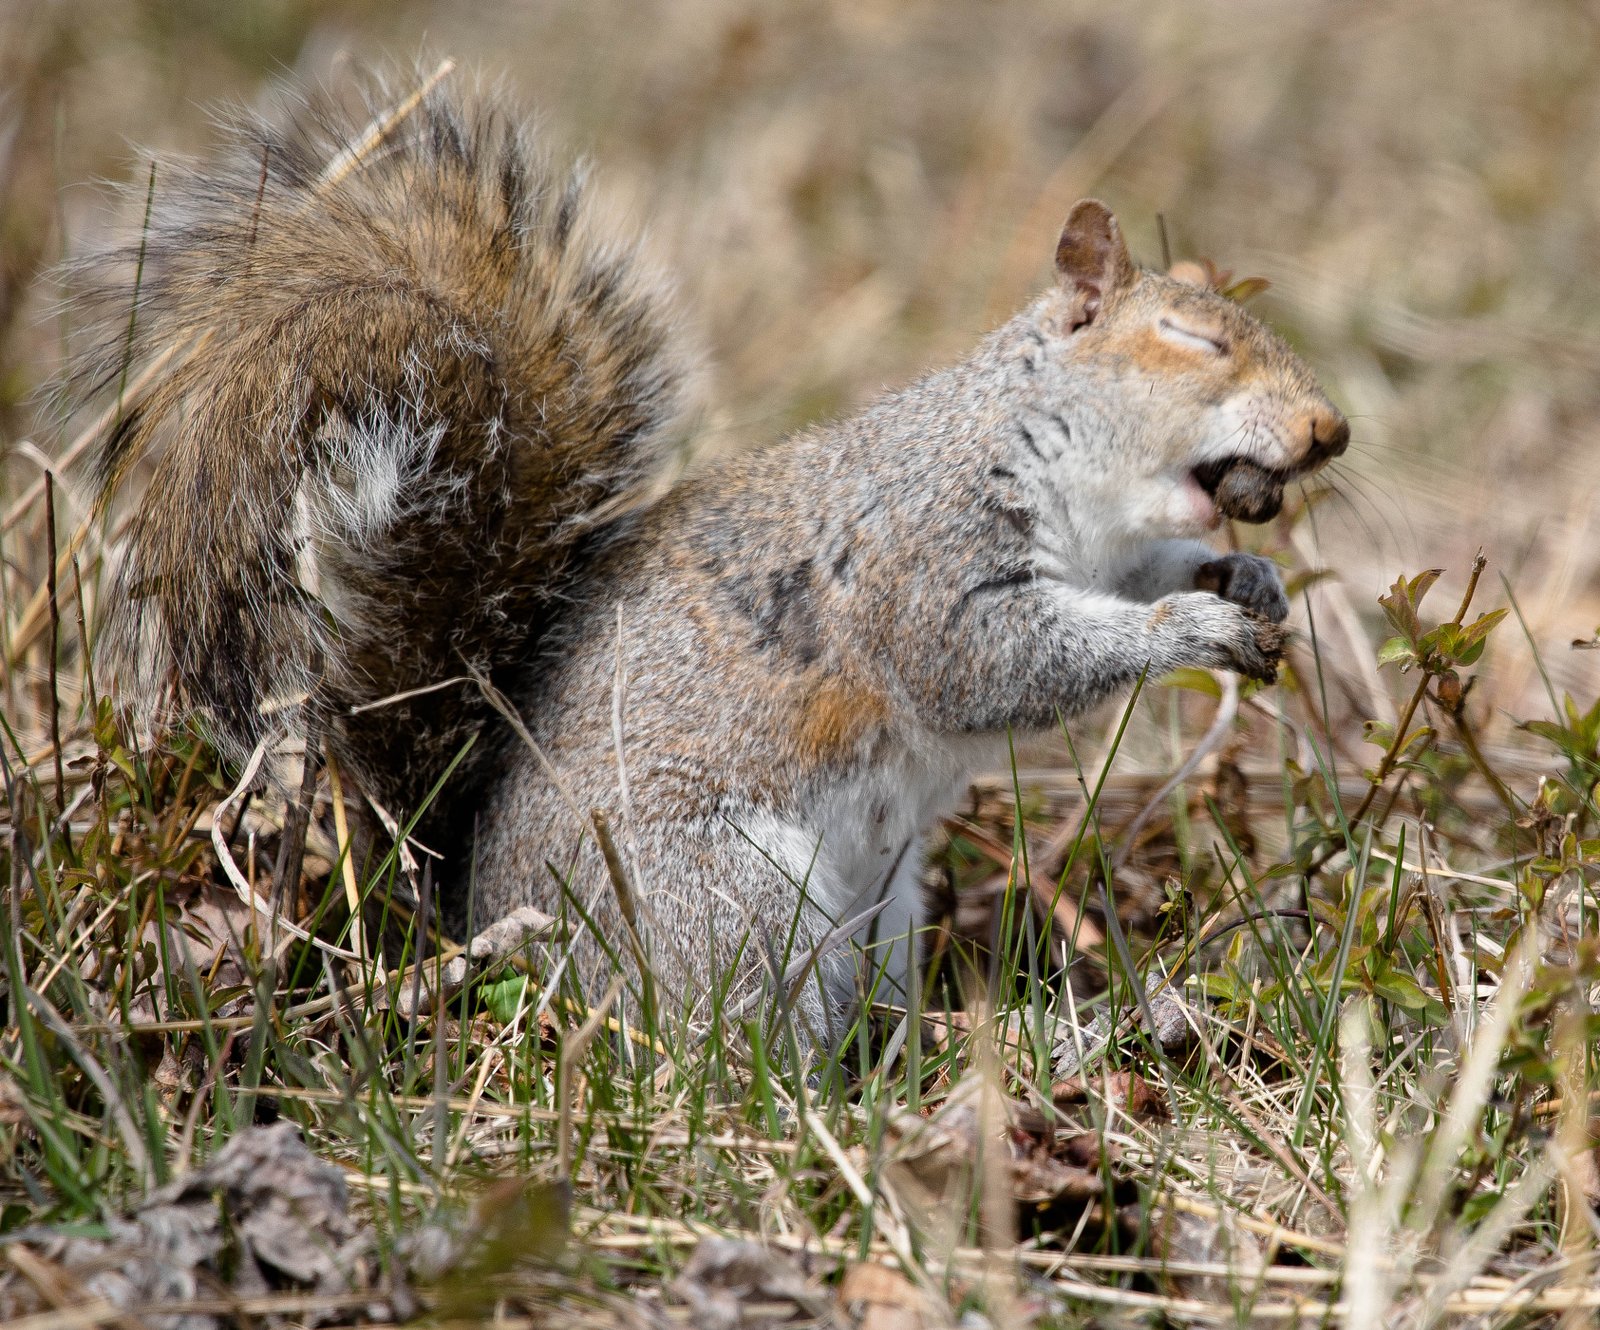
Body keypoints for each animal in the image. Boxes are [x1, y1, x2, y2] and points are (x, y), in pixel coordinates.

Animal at [69, 68, 1348, 1048]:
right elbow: (989, 667)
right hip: (730, 902)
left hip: (881, 907)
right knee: (743, 1048)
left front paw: (1236, 579)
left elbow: (1135, 574)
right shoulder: (924, 553)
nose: (1329, 429)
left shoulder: (1099, 547)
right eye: (1190, 338)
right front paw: (1191, 629)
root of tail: (473, 920)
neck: (1048, 458)